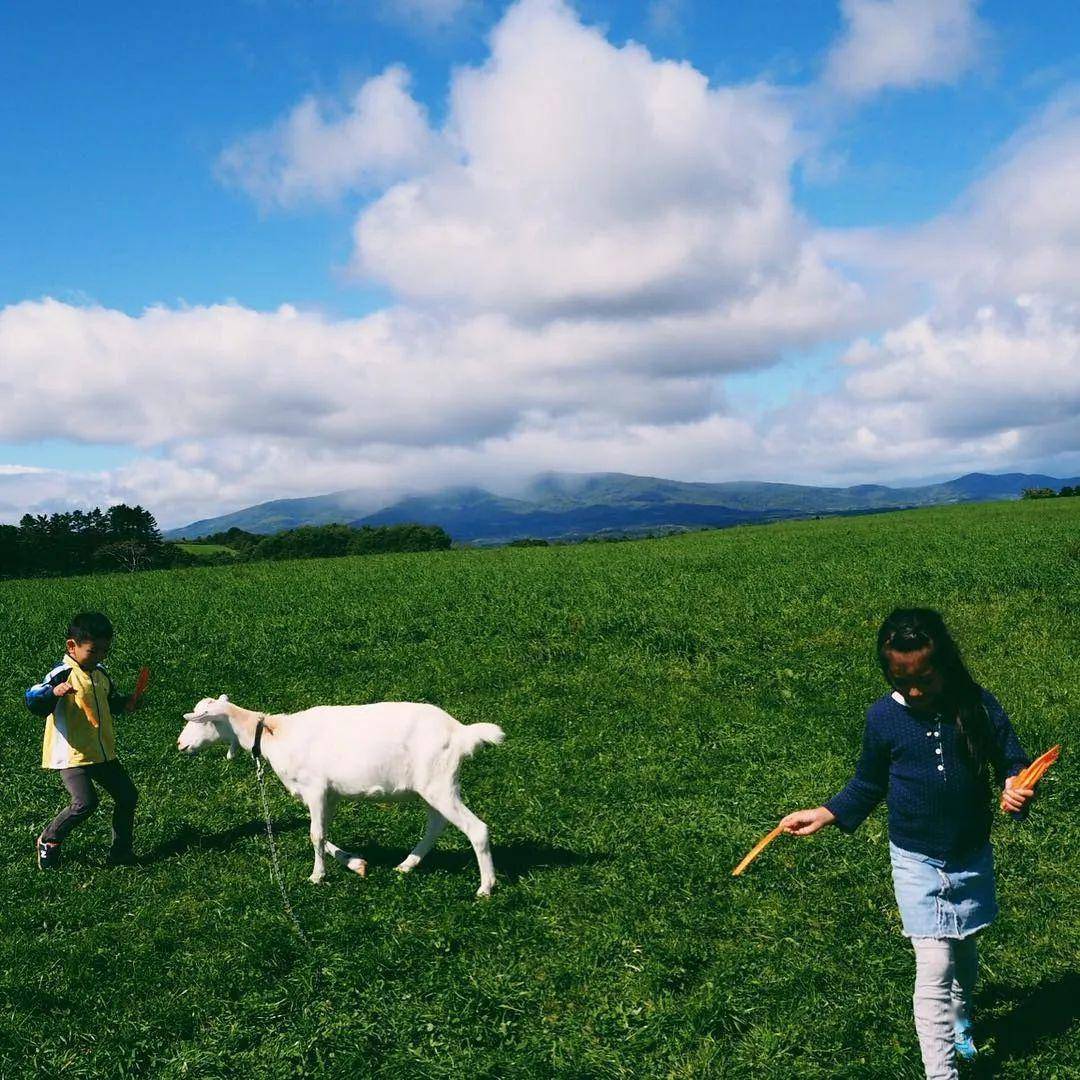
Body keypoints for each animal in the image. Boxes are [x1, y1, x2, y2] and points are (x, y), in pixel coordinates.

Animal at [178, 695, 505, 898]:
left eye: (199, 720)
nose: (180, 745)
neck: (275, 734)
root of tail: (461, 733)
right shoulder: (329, 794)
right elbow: (322, 833)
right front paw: (354, 863)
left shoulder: (315, 788)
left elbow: (315, 835)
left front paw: (316, 876)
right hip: (431, 787)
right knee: (437, 824)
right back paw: (407, 864)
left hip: (439, 784)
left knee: (477, 829)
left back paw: (485, 887)